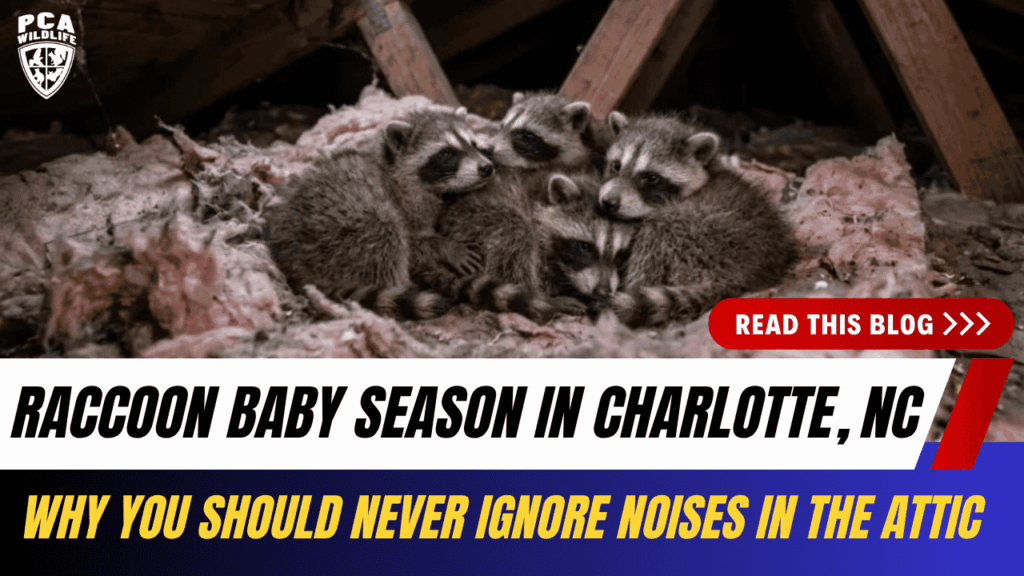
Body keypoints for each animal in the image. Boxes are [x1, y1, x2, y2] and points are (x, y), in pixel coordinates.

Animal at [264, 107, 495, 320]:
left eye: (474, 145)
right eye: (447, 153)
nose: (487, 168)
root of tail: (294, 263)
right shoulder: (405, 204)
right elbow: (414, 246)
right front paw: (446, 248)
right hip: (341, 227)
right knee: (385, 233)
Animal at [597, 114, 799, 327]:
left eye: (651, 178)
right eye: (616, 165)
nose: (608, 202)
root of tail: (744, 274)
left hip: (702, 237)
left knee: (657, 232)